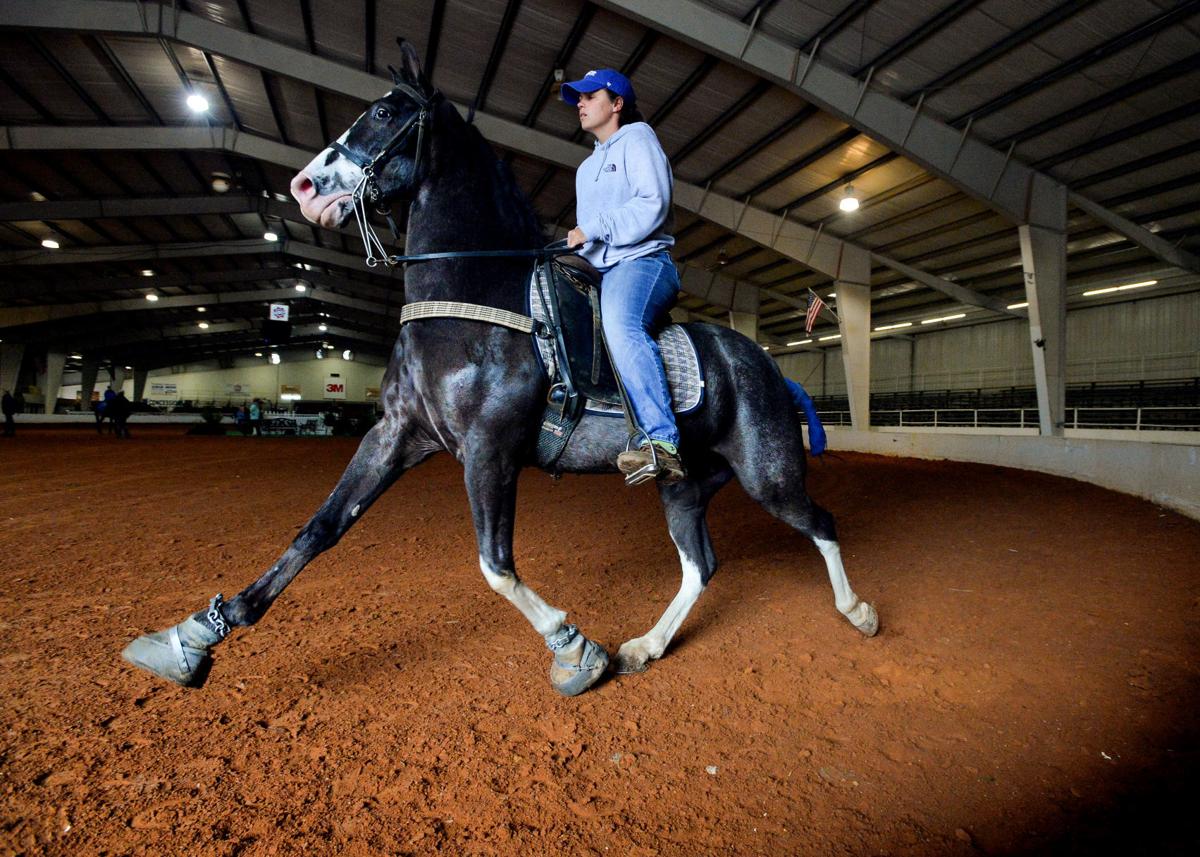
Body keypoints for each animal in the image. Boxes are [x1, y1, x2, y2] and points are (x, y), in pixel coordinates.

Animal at [122, 42, 878, 696]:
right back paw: (644, 647)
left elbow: (495, 565)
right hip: (685, 485)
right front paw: (195, 635)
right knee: (702, 565)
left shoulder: (489, 450)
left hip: (768, 473)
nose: (304, 186)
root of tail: (767, 367)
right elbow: (318, 529)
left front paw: (575, 649)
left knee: (821, 521)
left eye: (386, 113)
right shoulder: (397, 435)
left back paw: (859, 612)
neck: (468, 298)